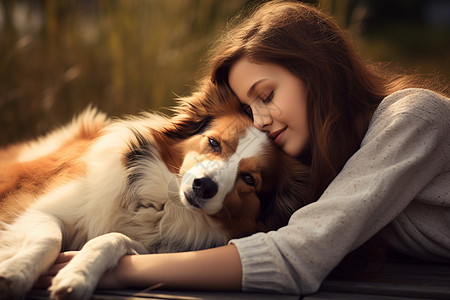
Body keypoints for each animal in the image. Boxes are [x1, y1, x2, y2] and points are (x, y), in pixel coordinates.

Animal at [0, 82, 310, 300]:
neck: (164, 203)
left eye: (248, 179)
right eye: (214, 142)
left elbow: (111, 239)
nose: (204, 186)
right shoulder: (34, 210)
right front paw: (16, 274)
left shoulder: (153, 247)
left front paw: (78, 275)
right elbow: (50, 238)